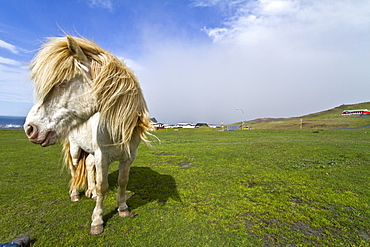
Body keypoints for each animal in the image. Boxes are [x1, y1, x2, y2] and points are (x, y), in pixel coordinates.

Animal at [24, 35, 152, 234]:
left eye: (63, 82)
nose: (30, 128)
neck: (117, 128)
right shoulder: (102, 156)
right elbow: (102, 187)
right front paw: (97, 221)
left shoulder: (128, 157)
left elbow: (123, 181)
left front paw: (123, 208)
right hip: (76, 150)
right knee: (75, 168)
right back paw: (75, 194)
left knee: (89, 166)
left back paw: (89, 191)